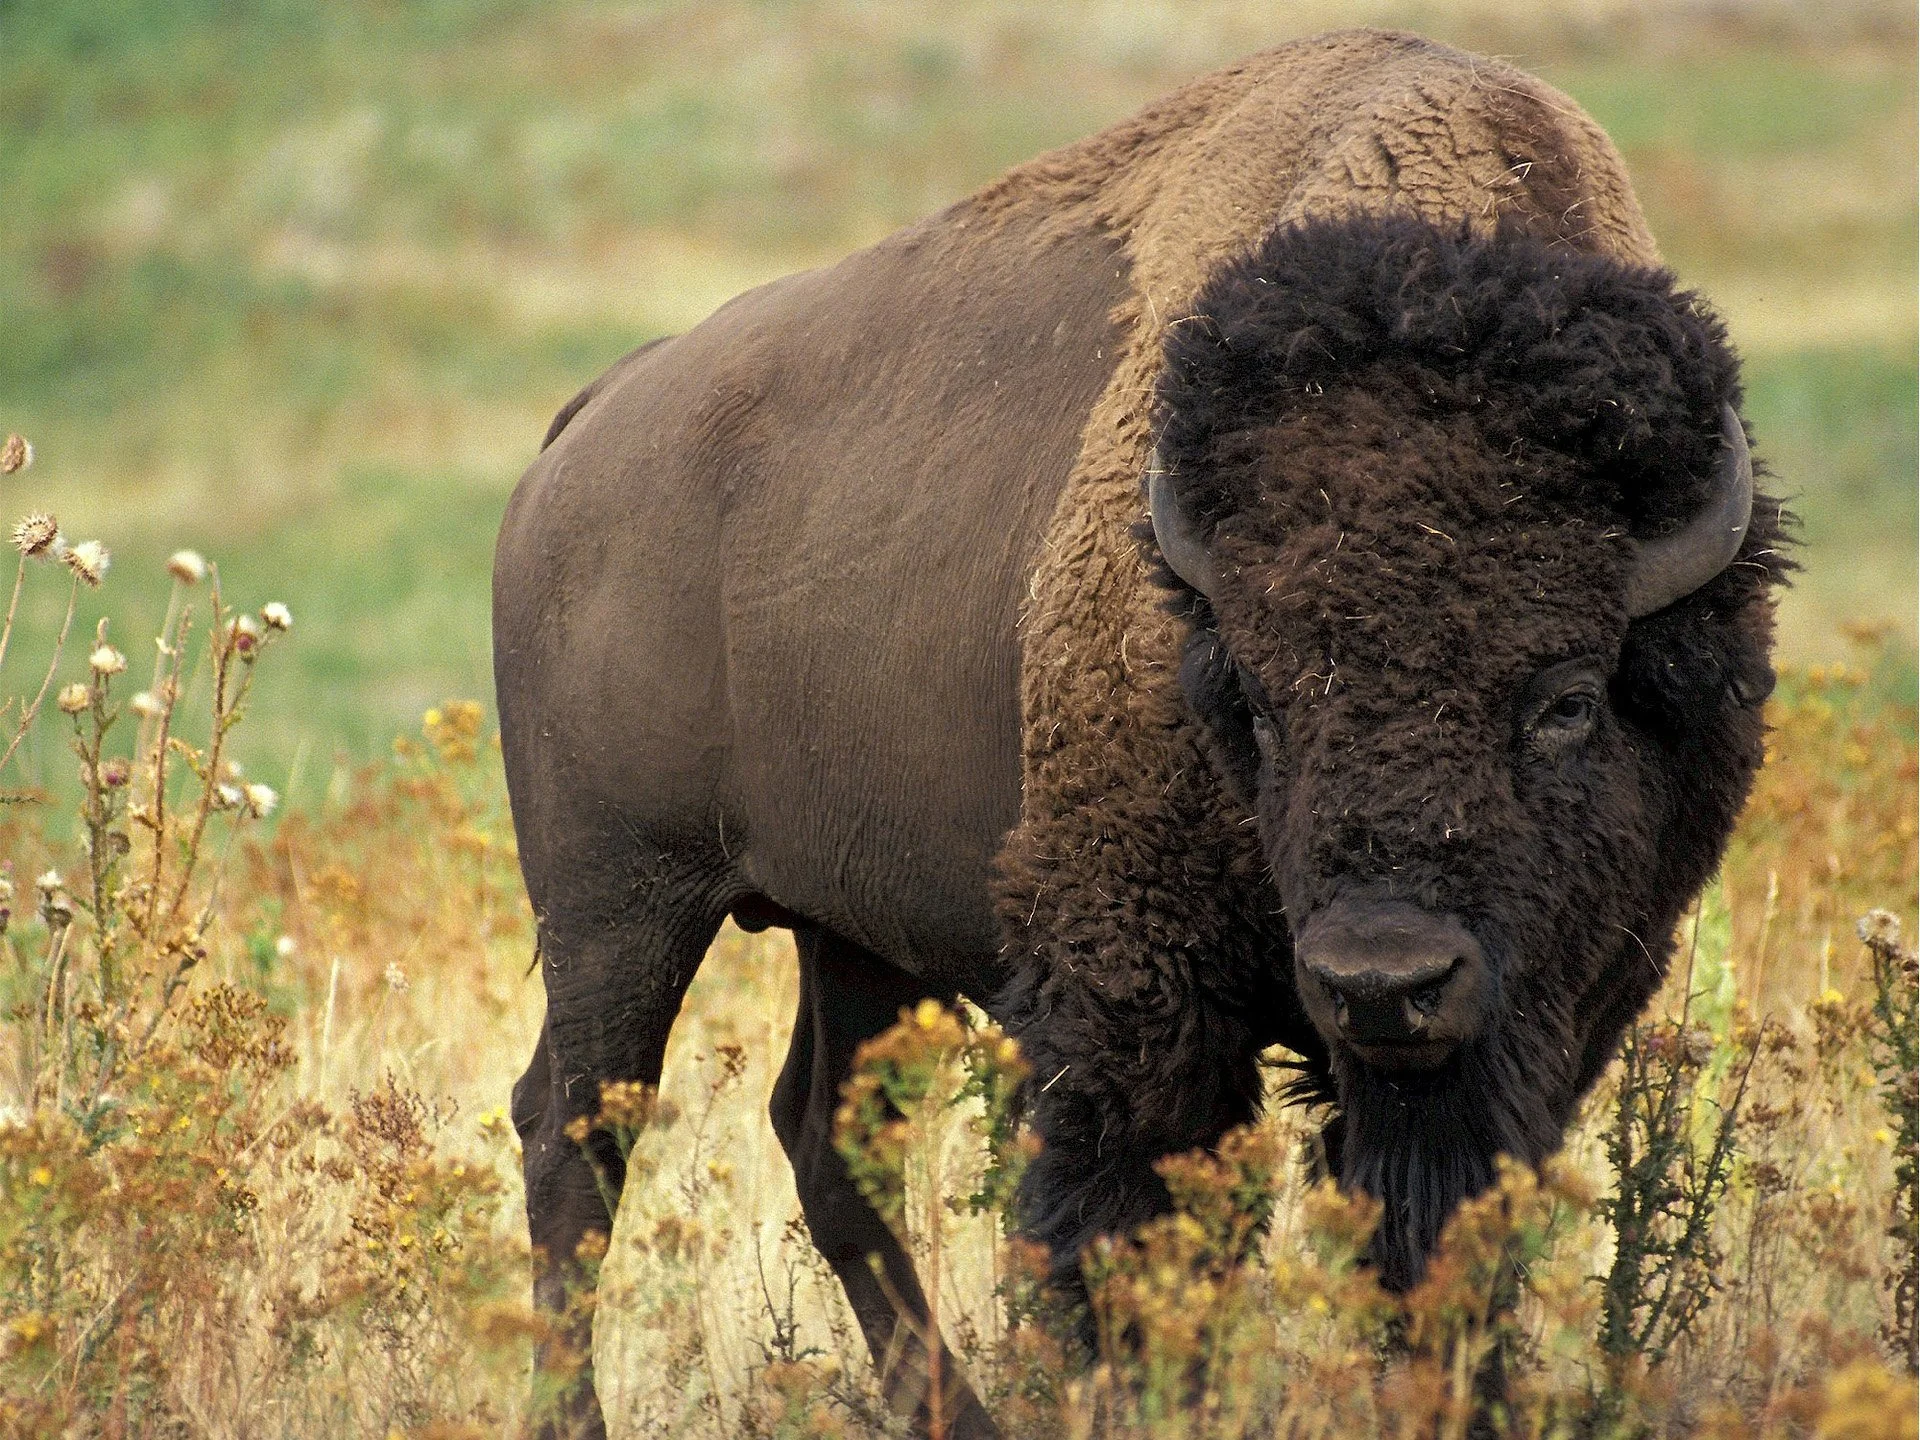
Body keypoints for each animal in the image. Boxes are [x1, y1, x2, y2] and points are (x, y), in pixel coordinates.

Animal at [493, 28, 1786, 1437]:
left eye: (1566, 699)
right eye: (1259, 702)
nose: (1381, 980)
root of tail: (590, 424)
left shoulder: (1542, 1016)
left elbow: (1438, 1237)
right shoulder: (1135, 991)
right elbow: (1136, 1231)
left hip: (849, 928)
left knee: (821, 1135)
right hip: (619, 901)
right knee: (577, 1137)